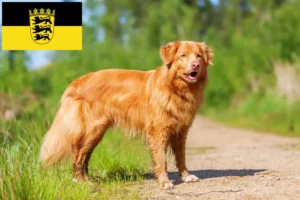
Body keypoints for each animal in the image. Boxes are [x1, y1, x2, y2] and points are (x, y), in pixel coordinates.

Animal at [39, 41, 213, 189]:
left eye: (198, 56)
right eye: (183, 55)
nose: (196, 65)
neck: (177, 88)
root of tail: (75, 82)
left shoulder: (181, 131)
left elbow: (181, 156)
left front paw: (186, 176)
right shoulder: (158, 131)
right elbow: (161, 159)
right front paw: (165, 182)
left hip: (96, 133)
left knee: (84, 156)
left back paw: (87, 179)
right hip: (91, 129)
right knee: (78, 156)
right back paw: (82, 182)